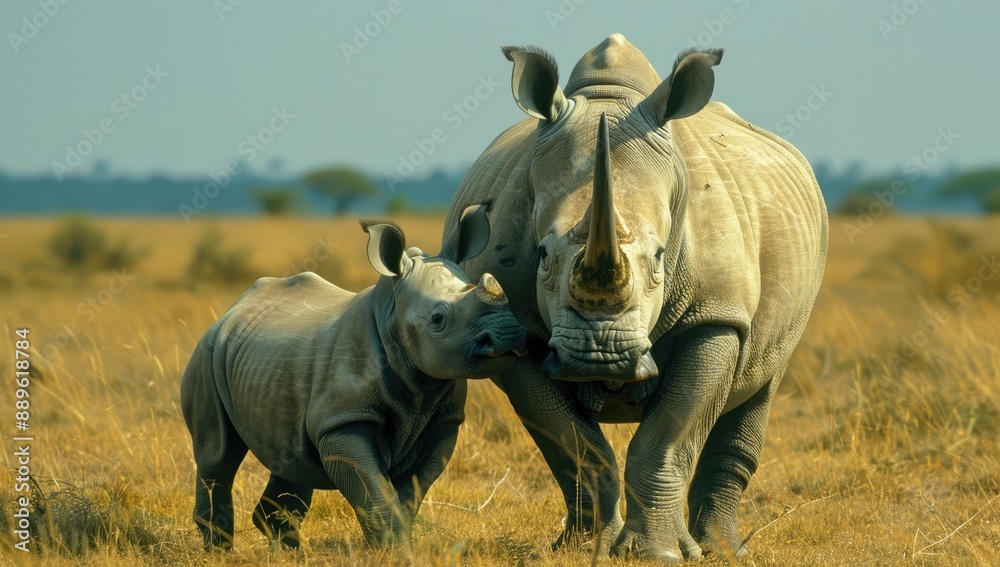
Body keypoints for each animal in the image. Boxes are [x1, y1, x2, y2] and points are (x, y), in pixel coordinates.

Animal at [180, 206, 527, 551]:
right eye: (438, 319)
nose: (509, 333)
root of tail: (232, 309)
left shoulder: (444, 420)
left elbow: (408, 494)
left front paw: (398, 548)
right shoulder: (343, 421)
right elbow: (375, 493)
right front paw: (393, 552)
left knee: (290, 456)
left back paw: (288, 552)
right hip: (208, 354)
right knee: (217, 455)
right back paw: (220, 551)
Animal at [444, 34, 828, 562]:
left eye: (661, 258)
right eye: (541, 255)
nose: (598, 355)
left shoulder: (716, 313)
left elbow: (668, 436)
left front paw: (659, 555)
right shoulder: (511, 321)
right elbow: (572, 442)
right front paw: (580, 550)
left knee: (762, 380)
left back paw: (723, 551)